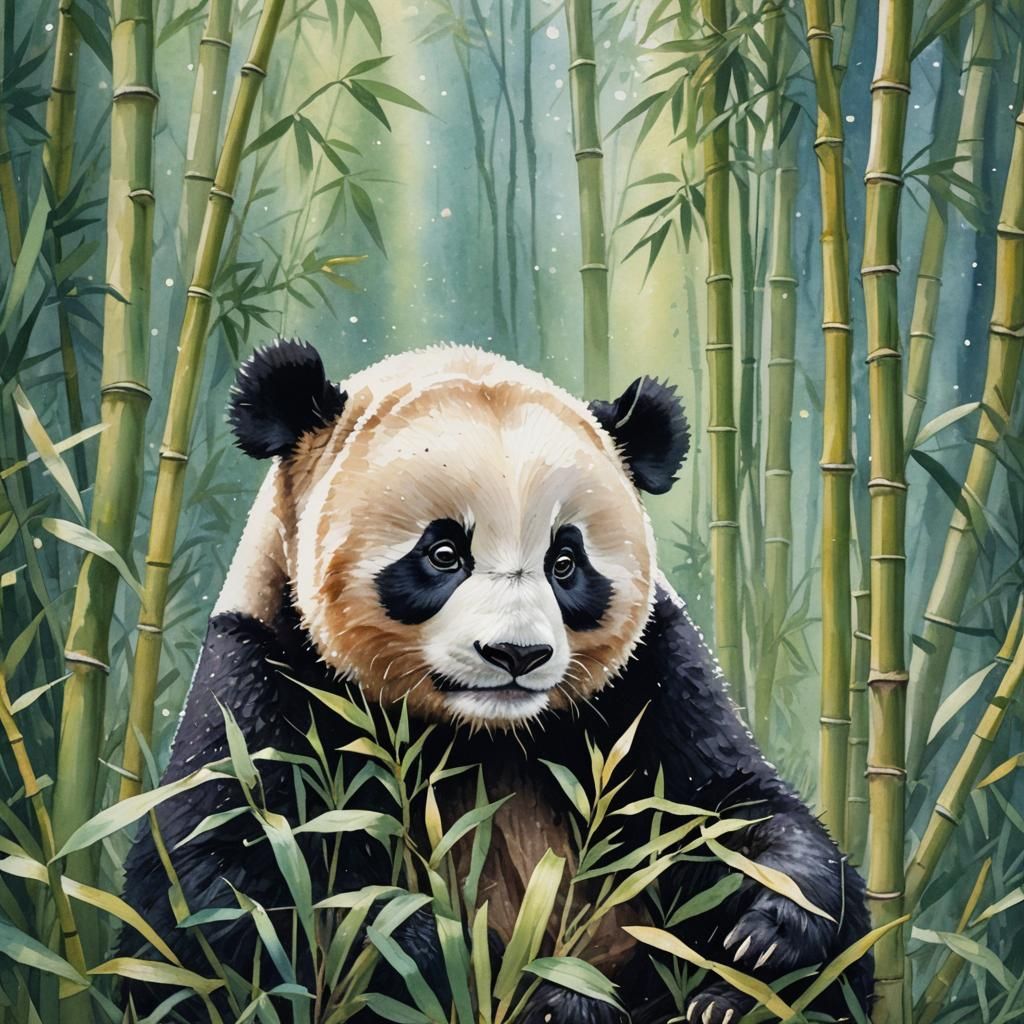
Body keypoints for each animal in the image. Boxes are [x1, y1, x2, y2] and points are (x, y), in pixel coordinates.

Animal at [120, 340, 872, 1024]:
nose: (517, 653)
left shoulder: (650, 677)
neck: (481, 730)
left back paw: (717, 1004)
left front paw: (767, 928)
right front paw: (452, 957)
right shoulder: (261, 668)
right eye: (443, 553)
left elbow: (725, 807)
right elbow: (233, 882)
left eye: (565, 562)